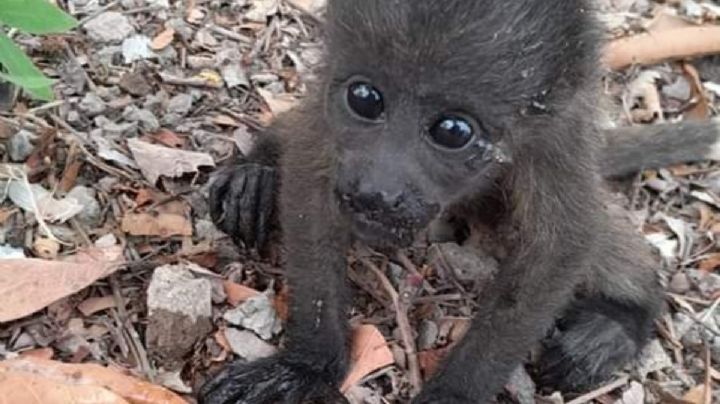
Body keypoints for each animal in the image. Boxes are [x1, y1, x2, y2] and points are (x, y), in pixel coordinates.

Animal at [198, 0, 716, 400]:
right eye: (365, 98)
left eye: (452, 131)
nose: (376, 193)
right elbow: (309, 177)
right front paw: (306, 365)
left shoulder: (558, 132)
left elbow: (561, 243)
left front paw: (452, 395)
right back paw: (256, 175)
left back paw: (620, 321)